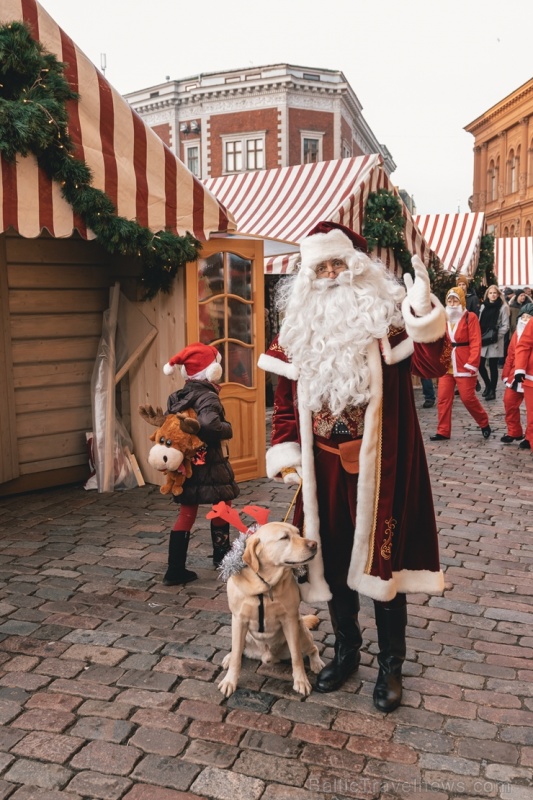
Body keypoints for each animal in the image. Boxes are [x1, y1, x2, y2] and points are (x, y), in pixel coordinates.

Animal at [217, 520, 324, 696]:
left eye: (298, 533)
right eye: (284, 537)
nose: (314, 544)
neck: (264, 586)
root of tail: (266, 656)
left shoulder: (290, 620)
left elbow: (296, 657)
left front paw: (301, 681)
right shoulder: (238, 620)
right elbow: (237, 657)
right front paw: (229, 681)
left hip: (301, 631)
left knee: (313, 649)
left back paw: (317, 664)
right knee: (237, 650)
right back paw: (229, 657)